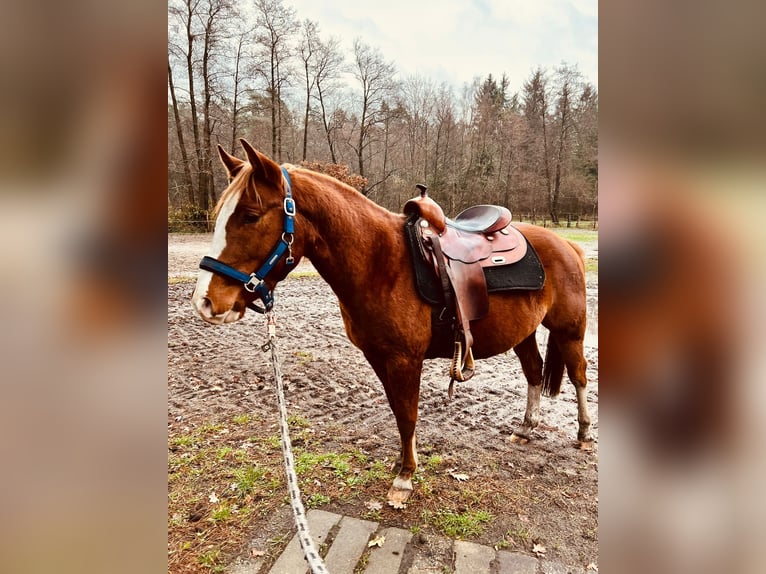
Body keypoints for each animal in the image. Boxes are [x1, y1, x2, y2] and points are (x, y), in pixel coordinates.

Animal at [191, 140, 593, 507]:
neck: (382, 263)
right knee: (533, 371)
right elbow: (398, 412)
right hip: (523, 332)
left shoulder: (404, 360)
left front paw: (405, 478)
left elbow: (408, 413)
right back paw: (525, 428)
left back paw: (585, 434)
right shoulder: (379, 357)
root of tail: (567, 245)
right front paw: (401, 463)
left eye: (250, 215)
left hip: (569, 330)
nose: (206, 302)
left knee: (579, 375)